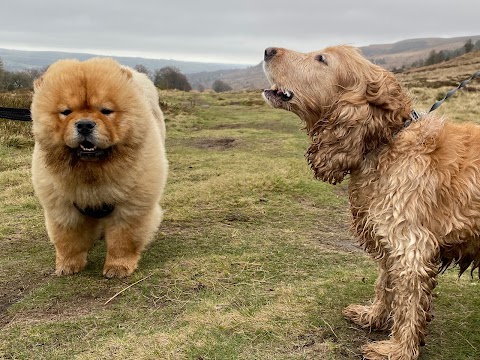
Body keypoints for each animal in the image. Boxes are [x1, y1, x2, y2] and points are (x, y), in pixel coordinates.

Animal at [31, 58, 168, 278]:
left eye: (106, 111)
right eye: (66, 112)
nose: (85, 124)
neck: (92, 172)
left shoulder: (131, 207)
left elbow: (123, 240)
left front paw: (118, 267)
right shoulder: (63, 208)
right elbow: (68, 241)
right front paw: (68, 265)